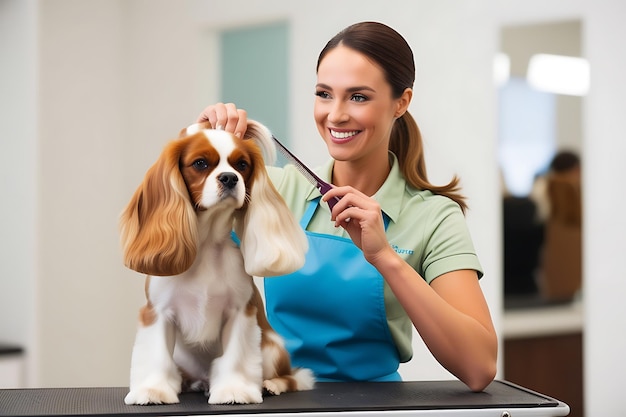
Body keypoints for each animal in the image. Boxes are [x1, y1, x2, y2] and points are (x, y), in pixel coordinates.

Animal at [119, 119, 312, 404]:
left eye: (242, 164)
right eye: (200, 163)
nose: (230, 177)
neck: (207, 243)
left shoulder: (240, 313)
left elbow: (234, 358)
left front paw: (234, 390)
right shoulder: (157, 312)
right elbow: (157, 356)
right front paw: (153, 391)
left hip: (272, 347)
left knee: (294, 377)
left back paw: (271, 384)